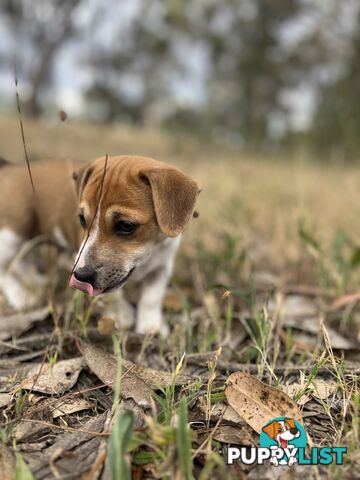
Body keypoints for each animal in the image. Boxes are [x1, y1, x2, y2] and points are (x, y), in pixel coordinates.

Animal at [0, 157, 200, 334]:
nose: (81, 276)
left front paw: (151, 325)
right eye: (82, 220)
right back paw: (21, 295)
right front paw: (121, 315)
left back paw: (33, 281)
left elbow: (152, 296)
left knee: (21, 261)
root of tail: (9, 168)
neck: (148, 255)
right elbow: (113, 295)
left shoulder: (162, 267)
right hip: (12, 234)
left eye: (126, 225)